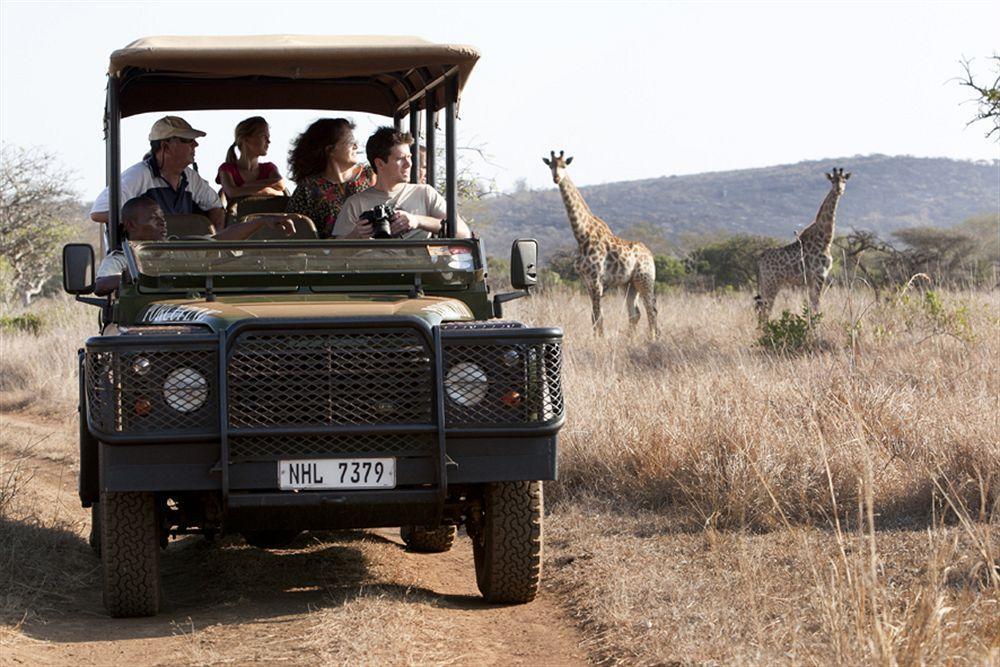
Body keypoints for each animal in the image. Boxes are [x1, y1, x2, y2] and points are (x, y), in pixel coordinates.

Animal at [544, 151, 660, 340]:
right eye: (550, 165)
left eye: (564, 165)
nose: (556, 178)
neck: (582, 235)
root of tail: (650, 254)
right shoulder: (586, 280)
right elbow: (593, 315)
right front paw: (597, 338)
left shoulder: (596, 279)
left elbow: (599, 316)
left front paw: (600, 340)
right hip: (628, 284)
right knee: (635, 313)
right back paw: (630, 340)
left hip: (644, 278)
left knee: (652, 309)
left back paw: (653, 339)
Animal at [752, 166, 856, 324]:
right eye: (833, 180)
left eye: (844, 180)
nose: (839, 189)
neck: (825, 239)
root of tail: (759, 260)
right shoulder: (819, 275)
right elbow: (816, 305)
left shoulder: (813, 279)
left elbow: (812, 305)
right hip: (772, 283)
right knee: (765, 311)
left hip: (765, 284)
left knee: (760, 310)